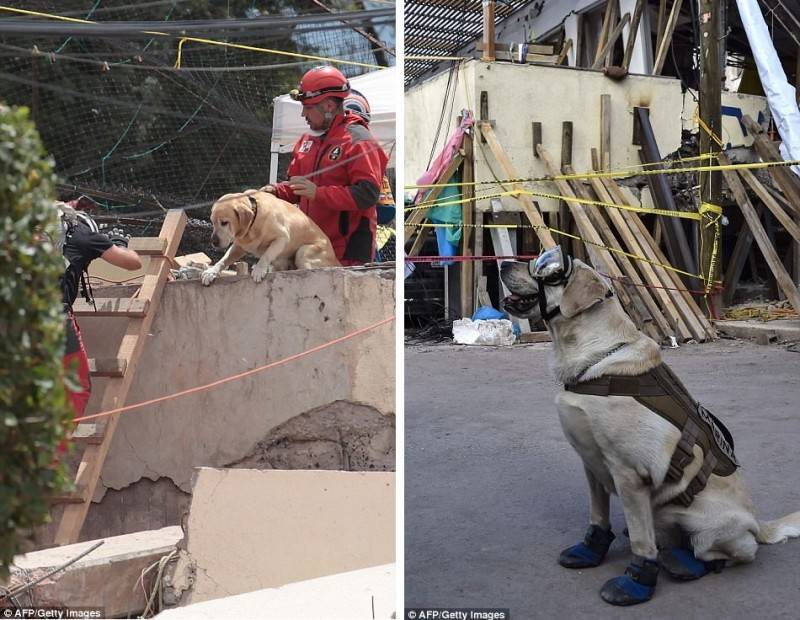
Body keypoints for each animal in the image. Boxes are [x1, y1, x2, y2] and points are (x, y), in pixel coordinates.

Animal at [202, 190, 340, 286]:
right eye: (212, 222)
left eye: (224, 223)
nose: (213, 242)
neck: (254, 221)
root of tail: (336, 260)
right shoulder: (238, 247)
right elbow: (223, 260)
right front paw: (211, 272)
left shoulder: (282, 237)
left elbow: (266, 255)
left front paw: (259, 269)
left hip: (303, 251)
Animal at [500, 246, 800, 604]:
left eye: (546, 268)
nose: (503, 264)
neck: (598, 357)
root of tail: (758, 522)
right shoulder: (591, 464)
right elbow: (597, 515)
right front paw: (591, 550)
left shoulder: (629, 474)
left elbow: (642, 544)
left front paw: (637, 581)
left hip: (706, 526)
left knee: (727, 553)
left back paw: (684, 562)